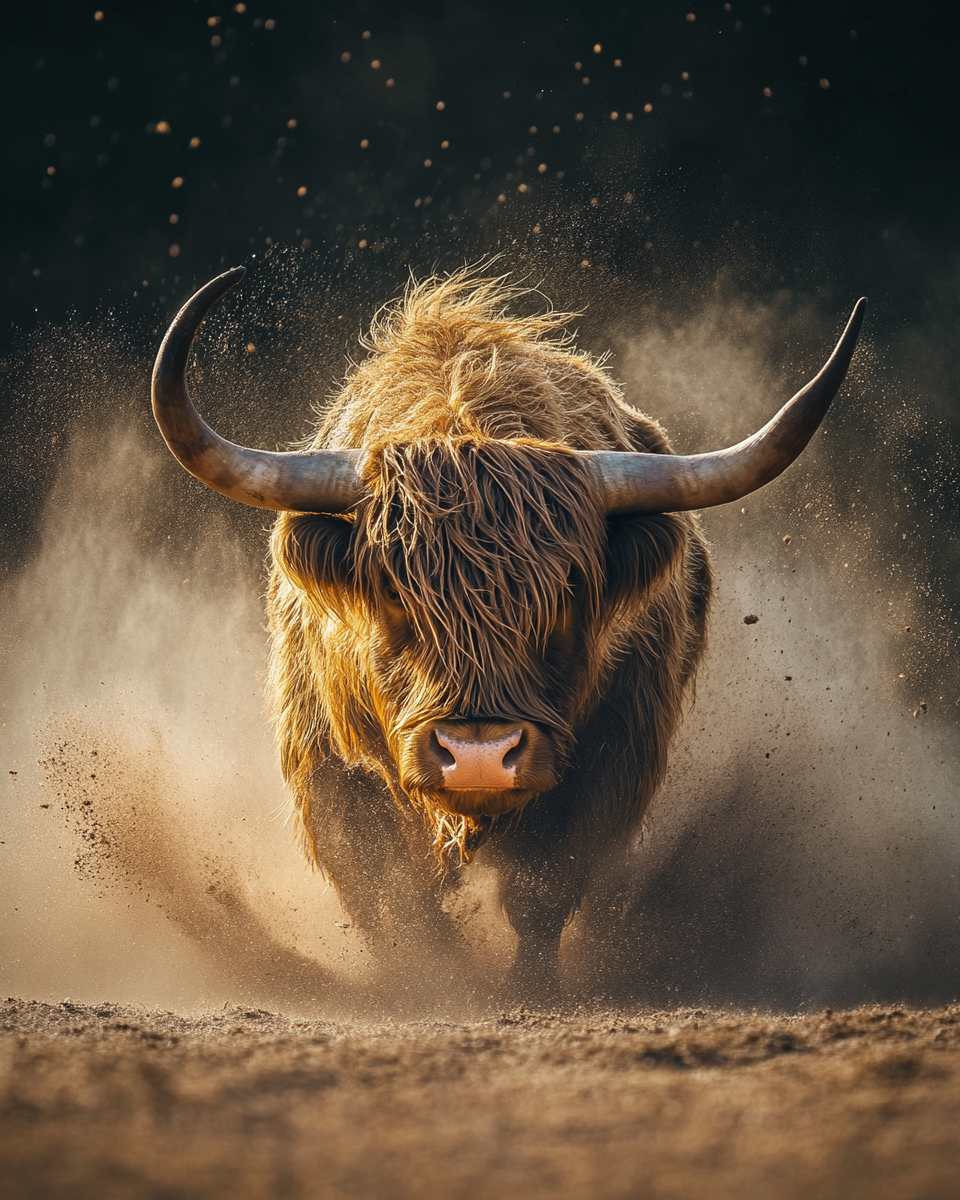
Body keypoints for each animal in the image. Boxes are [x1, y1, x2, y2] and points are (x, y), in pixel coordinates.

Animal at [153, 272, 864, 993]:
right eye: (392, 591)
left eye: (569, 591)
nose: (478, 755)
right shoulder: (330, 763)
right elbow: (393, 893)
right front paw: (430, 984)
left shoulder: (613, 755)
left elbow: (543, 888)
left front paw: (531, 986)